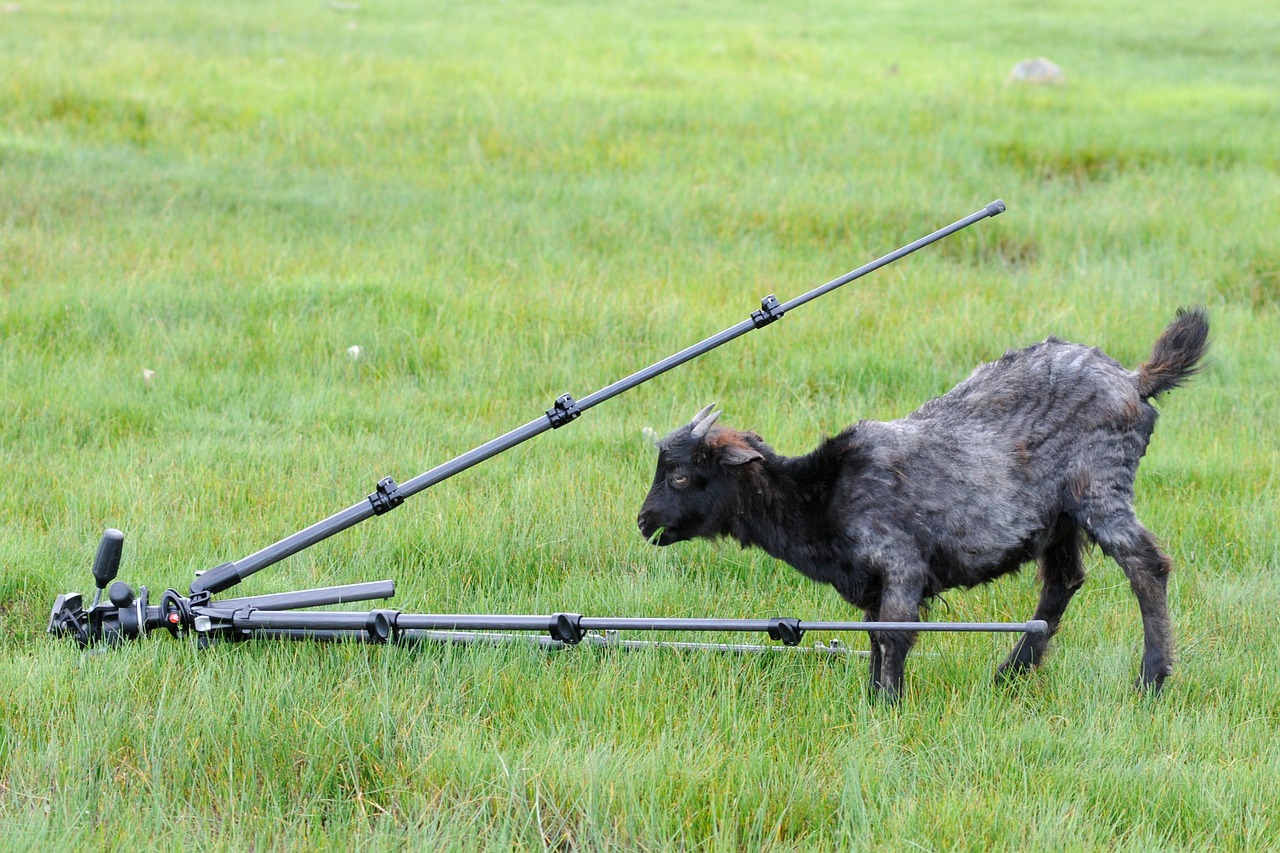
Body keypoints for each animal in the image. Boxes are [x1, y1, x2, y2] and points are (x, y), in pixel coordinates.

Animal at [640, 306, 1208, 696]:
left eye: (681, 476)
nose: (644, 522)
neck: (820, 492)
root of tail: (1135, 380)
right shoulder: (871, 584)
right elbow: (874, 636)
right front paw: (873, 696)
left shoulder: (899, 563)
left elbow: (894, 635)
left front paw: (886, 705)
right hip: (1059, 518)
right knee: (1063, 582)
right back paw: (1010, 674)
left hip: (1101, 486)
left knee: (1146, 566)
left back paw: (1151, 679)